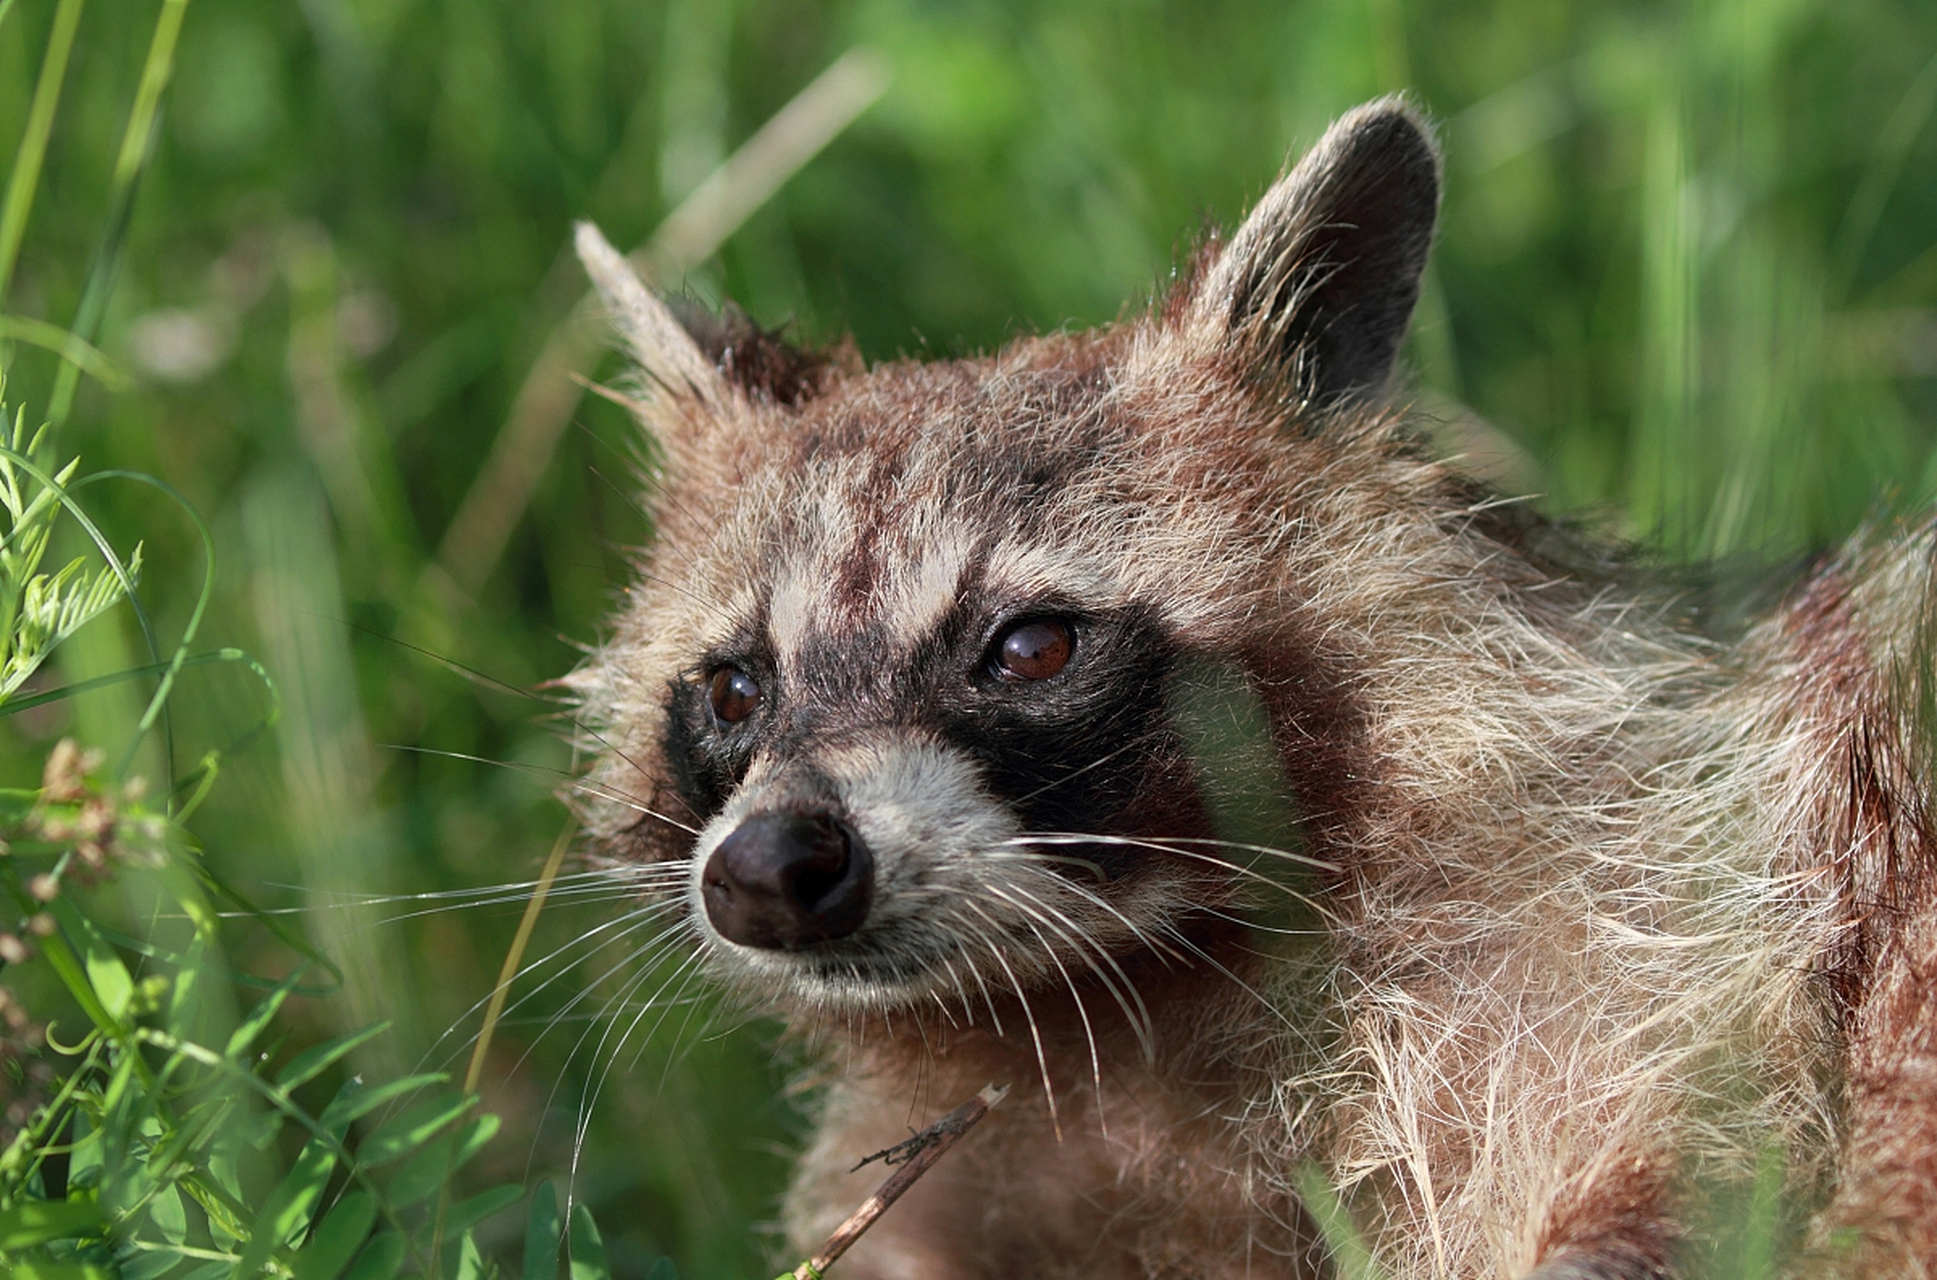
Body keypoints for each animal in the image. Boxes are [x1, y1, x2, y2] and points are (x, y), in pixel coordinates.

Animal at [557, 94, 1937, 1270]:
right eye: (735, 688)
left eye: (1030, 646)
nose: (768, 866)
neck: (1121, 989)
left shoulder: (1686, 894)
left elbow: (1686, 1152)